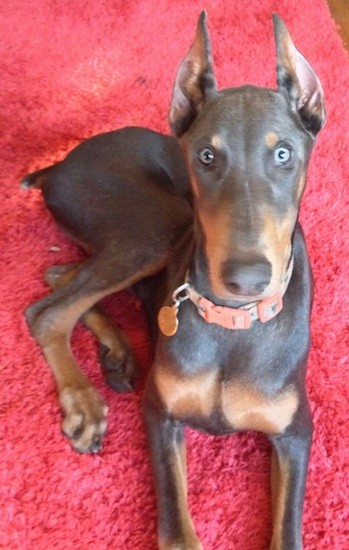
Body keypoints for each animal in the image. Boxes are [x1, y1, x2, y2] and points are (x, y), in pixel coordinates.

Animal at [23, 11, 324, 550]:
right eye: (206, 156)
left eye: (284, 154)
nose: (246, 278)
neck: (234, 324)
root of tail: (59, 163)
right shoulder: (160, 417)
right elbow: (177, 531)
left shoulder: (295, 432)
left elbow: (288, 532)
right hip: (155, 224)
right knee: (47, 311)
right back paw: (85, 401)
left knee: (60, 274)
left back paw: (118, 351)